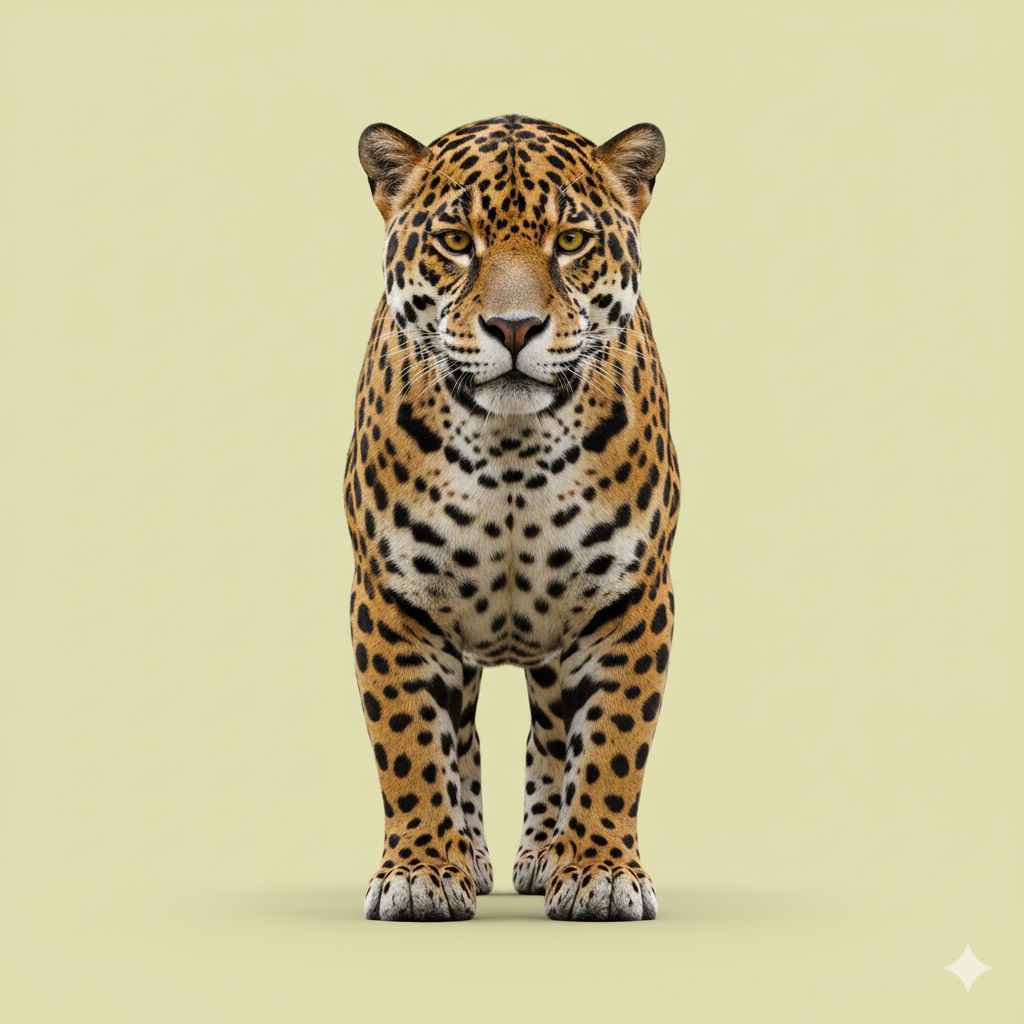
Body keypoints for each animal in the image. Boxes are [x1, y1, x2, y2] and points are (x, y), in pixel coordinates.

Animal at [343, 114, 680, 922]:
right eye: (456, 240)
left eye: (572, 241)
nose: (516, 326)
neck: (513, 452)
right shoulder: (391, 601)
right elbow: (410, 747)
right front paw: (421, 873)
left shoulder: (632, 600)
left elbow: (613, 747)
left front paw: (599, 872)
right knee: (461, 740)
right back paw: (471, 854)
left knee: (553, 737)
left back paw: (542, 854)